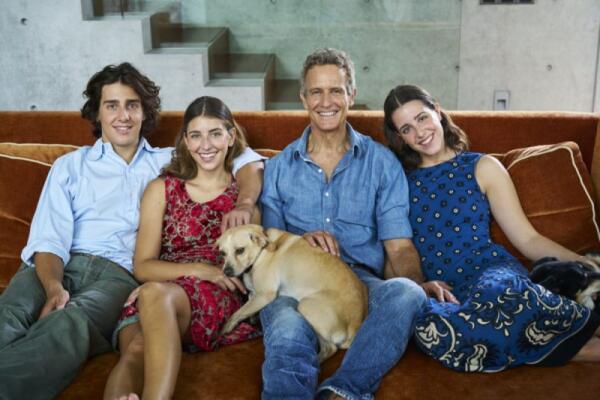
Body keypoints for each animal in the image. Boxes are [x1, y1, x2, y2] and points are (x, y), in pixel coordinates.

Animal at [216, 224, 368, 362]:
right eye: (222, 253)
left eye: (240, 250)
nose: (226, 272)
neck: (261, 252)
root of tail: (355, 325)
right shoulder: (255, 294)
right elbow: (248, 301)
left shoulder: (264, 295)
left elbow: (237, 313)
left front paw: (223, 330)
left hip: (305, 306)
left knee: (331, 348)